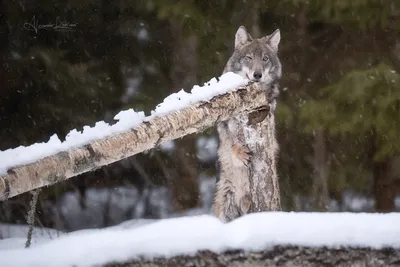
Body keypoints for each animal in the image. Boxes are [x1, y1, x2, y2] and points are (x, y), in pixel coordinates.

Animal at [212, 25, 282, 223]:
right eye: (249, 58)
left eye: (265, 59)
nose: (257, 75)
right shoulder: (225, 127)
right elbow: (232, 143)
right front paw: (240, 152)